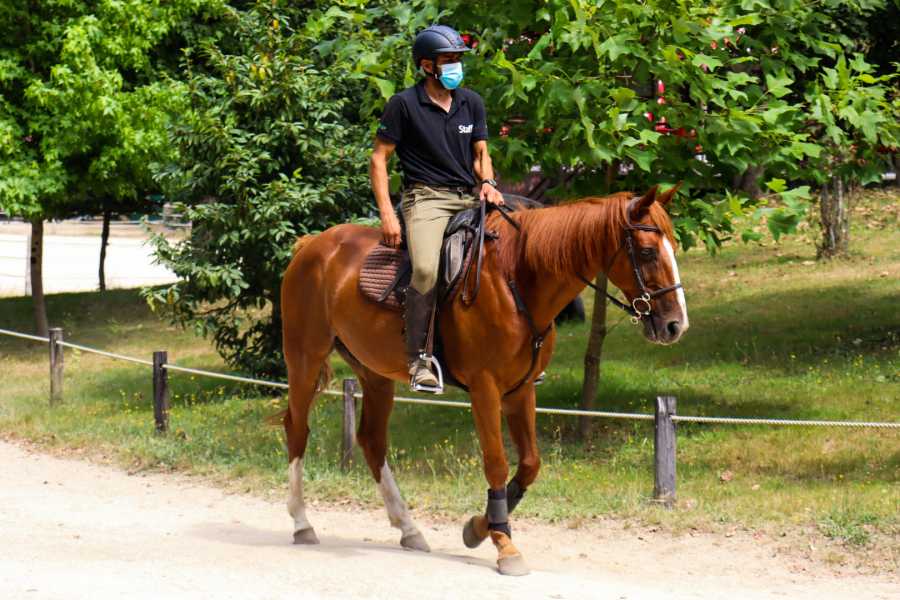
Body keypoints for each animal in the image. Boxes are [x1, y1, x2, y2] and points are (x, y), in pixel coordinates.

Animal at [279, 184, 688, 576]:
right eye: (647, 252)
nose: (675, 325)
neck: (518, 279)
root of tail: (311, 245)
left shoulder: (521, 390)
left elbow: (530, 464)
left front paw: (479, 527)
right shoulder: (485, 388)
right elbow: (497, 463)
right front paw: (503, 543)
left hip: (375, 373)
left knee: (372, 441)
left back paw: (408, 528)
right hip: (305, 357)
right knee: (298, 429)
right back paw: (302, 523)